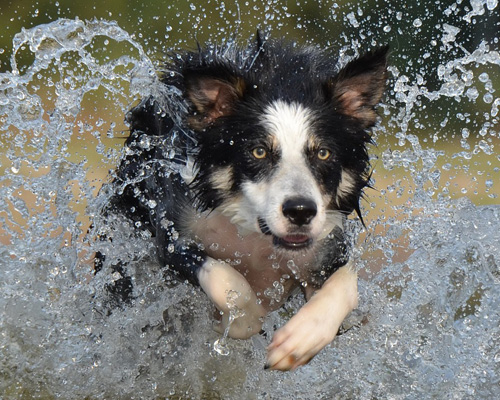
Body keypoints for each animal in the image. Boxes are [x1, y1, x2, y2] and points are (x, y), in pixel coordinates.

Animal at [100, 34, 390, 372]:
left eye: (323, 153)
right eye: (258, 152)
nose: (300, 211)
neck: (255, 235)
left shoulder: (327, 245)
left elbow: (346, 283)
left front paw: (301, 339)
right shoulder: (173, 235)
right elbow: (229, 281)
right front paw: (241, 320)